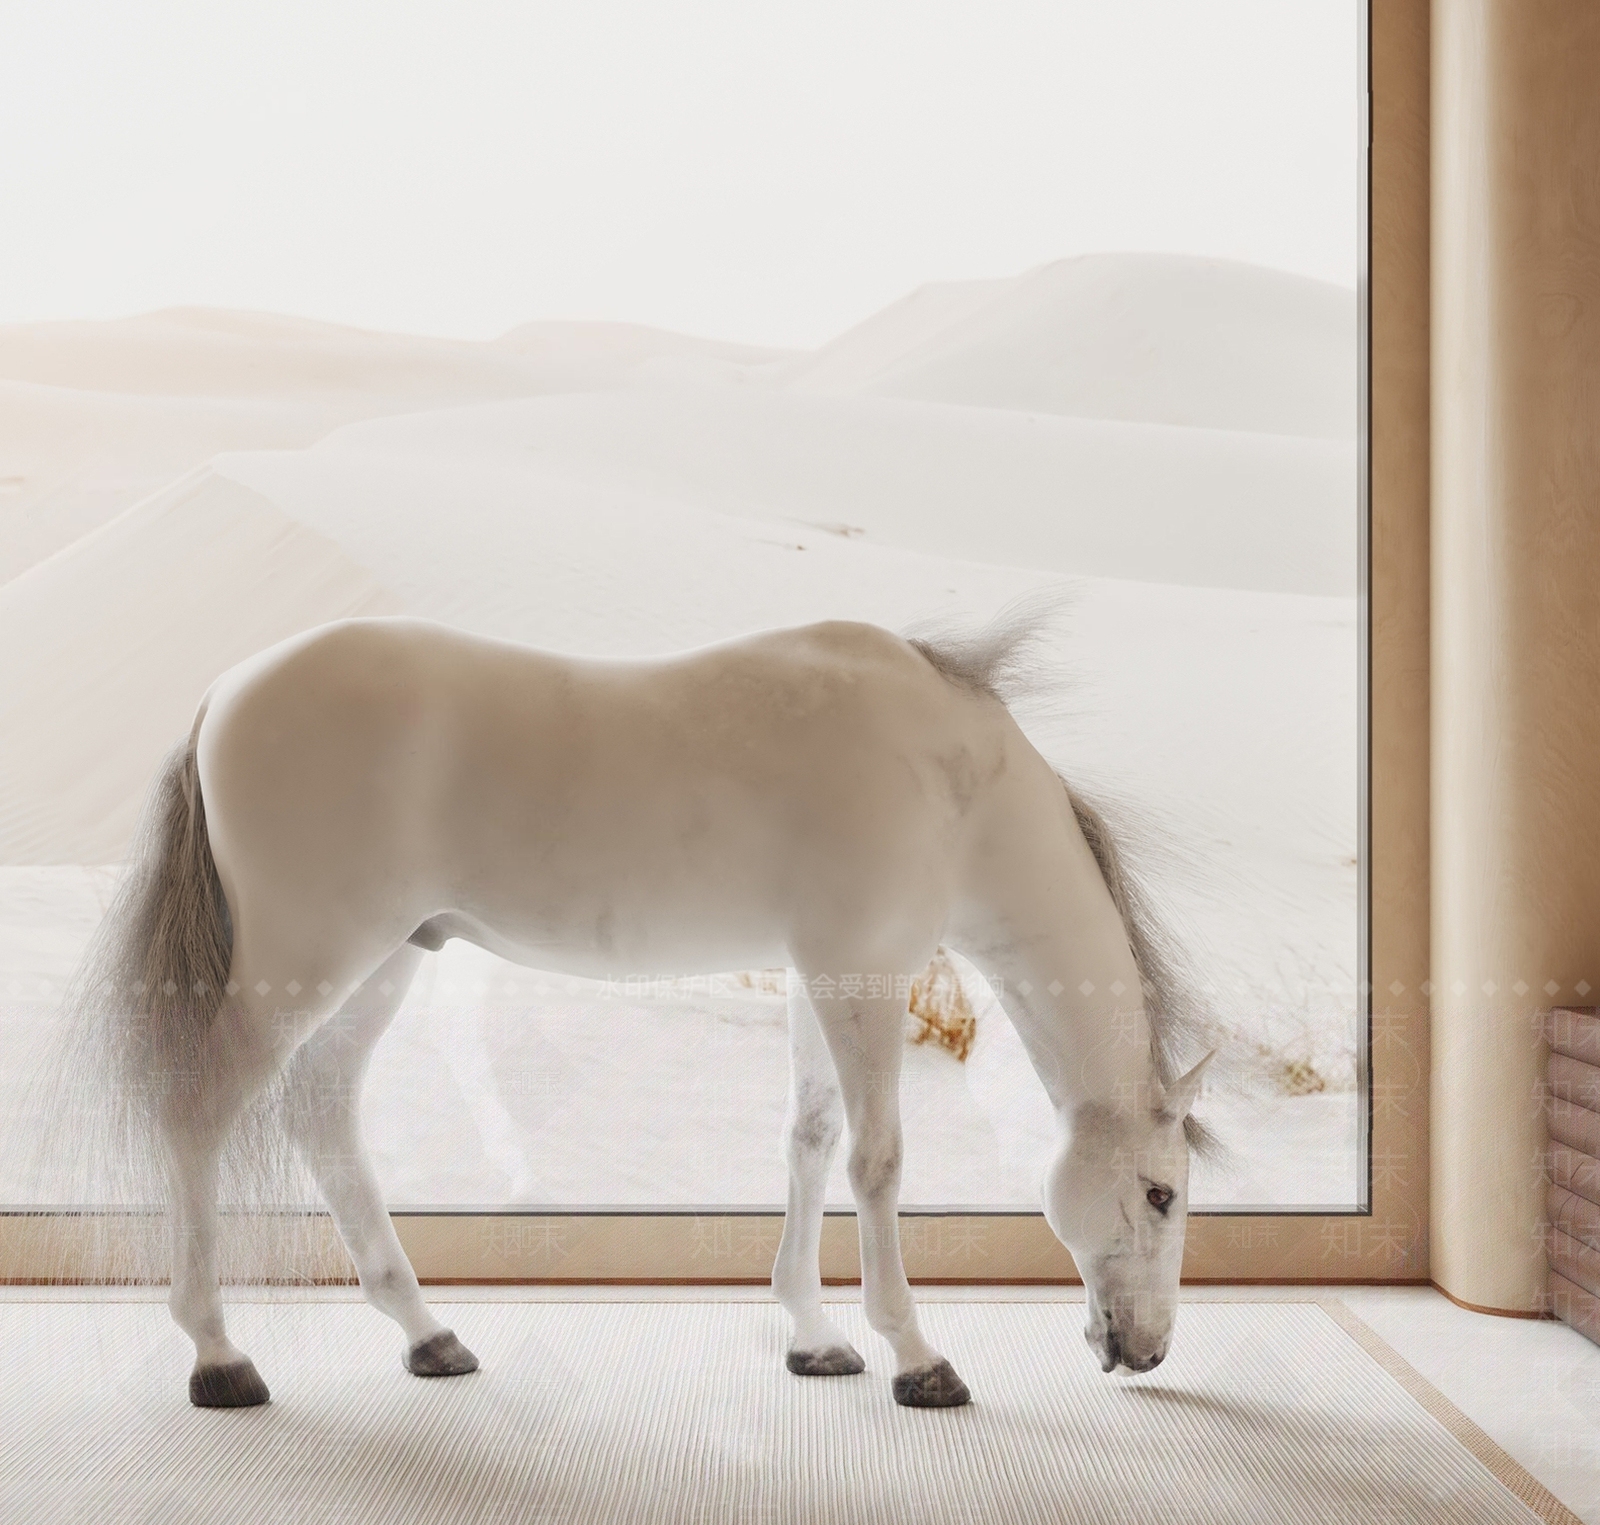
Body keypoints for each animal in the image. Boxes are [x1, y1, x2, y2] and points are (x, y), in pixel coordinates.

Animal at [61, 604, 1215, 1409]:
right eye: (1161, 1192)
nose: (1148, 1348)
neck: (950, 779)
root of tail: (227, 691)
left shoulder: (822, 976)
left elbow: (807, 1142)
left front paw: (813, 1338)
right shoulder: (864, 974)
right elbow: (877, 1162)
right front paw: (916, 1357)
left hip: (380, 963)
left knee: (321, 1113)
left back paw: (428, 1335)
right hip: (301, 962)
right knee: (200, 1110)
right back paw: (220, 1355)